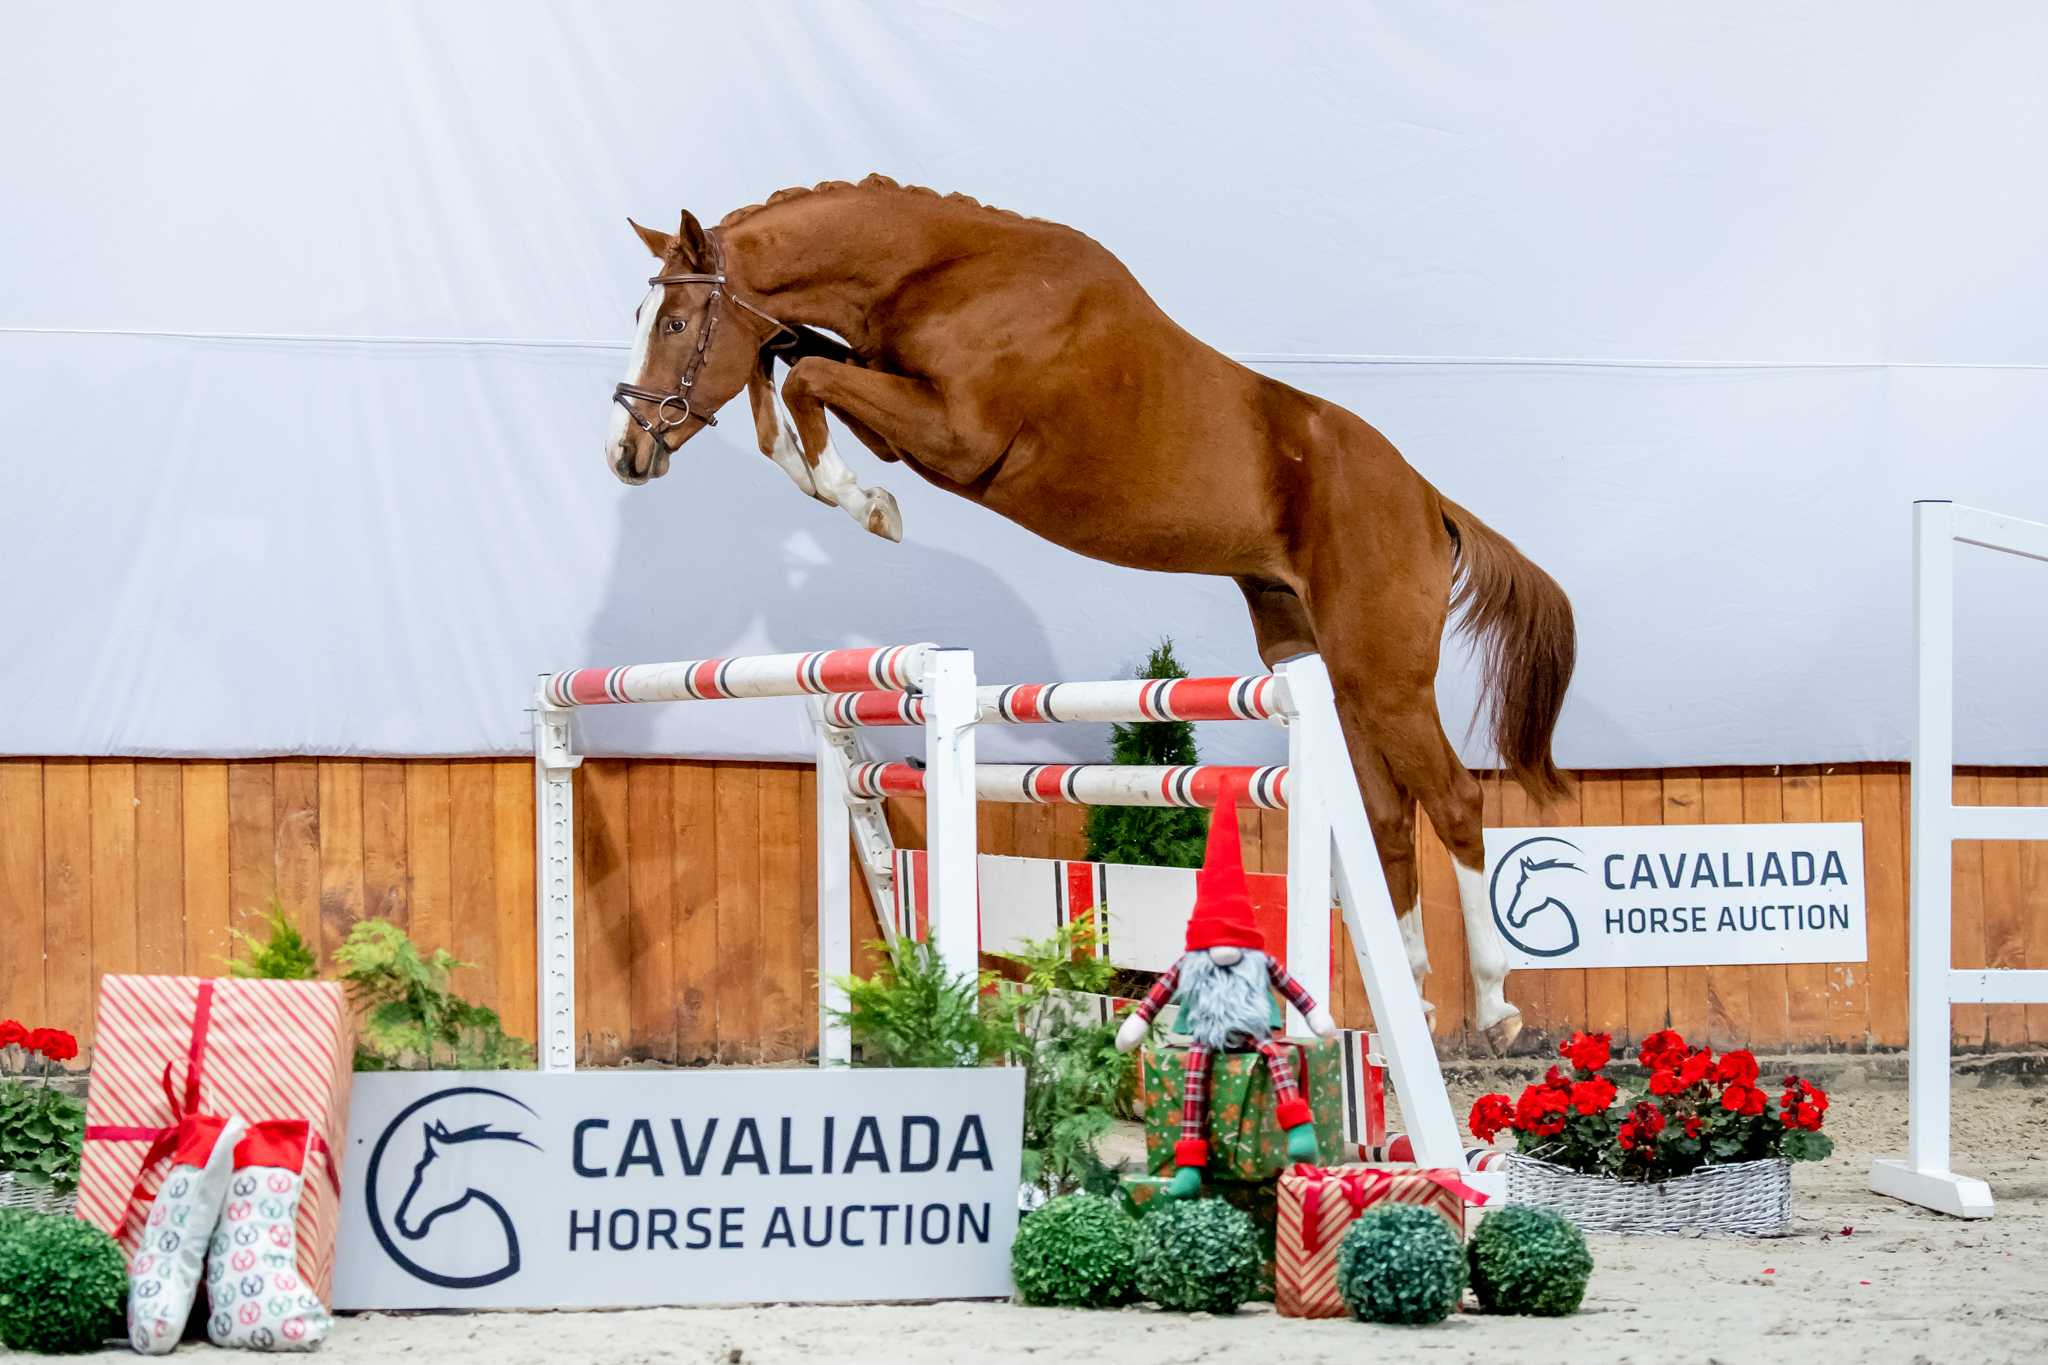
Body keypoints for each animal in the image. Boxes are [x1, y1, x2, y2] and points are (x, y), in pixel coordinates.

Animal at [602, 176, 1576, 1053]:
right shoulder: (894, 404)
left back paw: (1494, 1003)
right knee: (1385, 816)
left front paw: (865, 503)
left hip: (1385, 670)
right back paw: (1411, 992)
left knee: (1452, 799)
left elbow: (805, 375)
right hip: (1321, 660)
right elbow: (790, 366)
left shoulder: (954, 435)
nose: (625, 453)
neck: (941, 272)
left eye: (676, 325)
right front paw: (829, 477)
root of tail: (1428, 498)